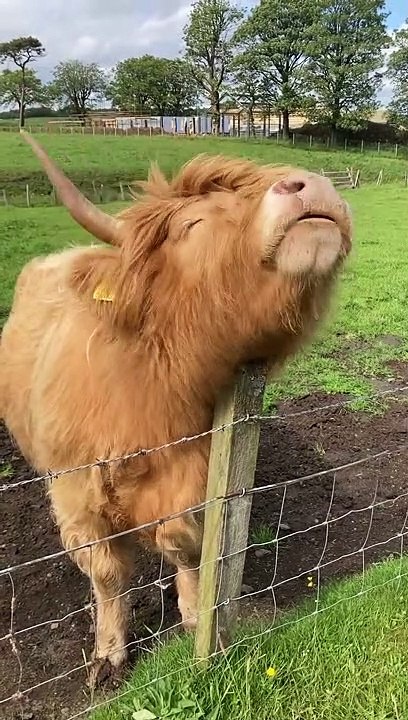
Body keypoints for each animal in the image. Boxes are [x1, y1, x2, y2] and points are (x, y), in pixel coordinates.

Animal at [0, 131, 352, 686]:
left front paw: (192, 617)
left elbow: (184, 543)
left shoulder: (194, 471)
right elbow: (108, 573)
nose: (310, 184)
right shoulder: (75, 495)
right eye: (193, 225)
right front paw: (109, 652)